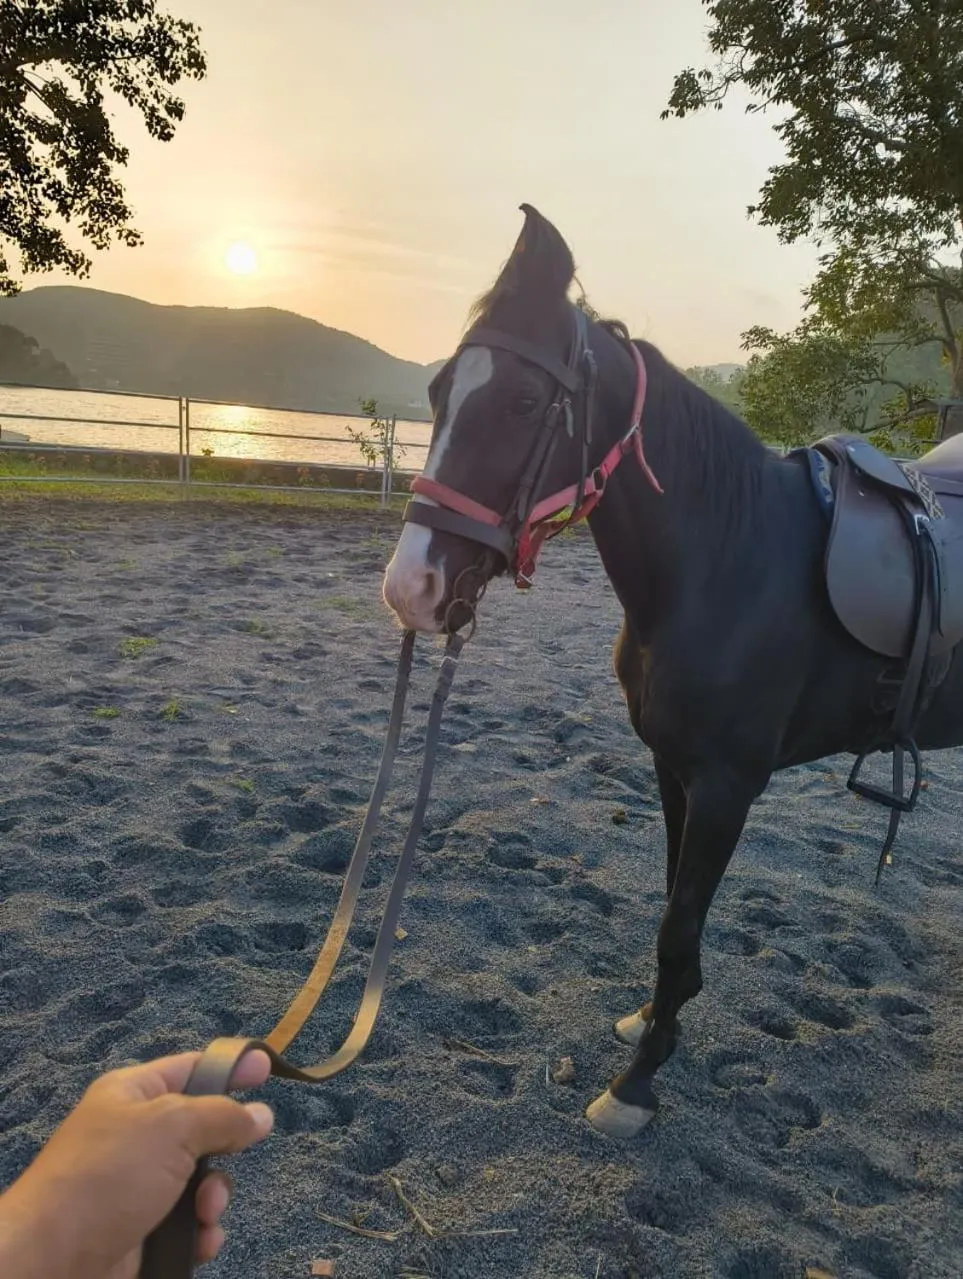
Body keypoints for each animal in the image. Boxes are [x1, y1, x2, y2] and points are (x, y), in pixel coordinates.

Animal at [381, 204, 963, 1139]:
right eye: (437, 394)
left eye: (524, 400)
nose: (412, 587)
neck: (727, 558)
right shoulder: (671, 769)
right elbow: (669, 905)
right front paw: (657, 1019)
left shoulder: (727, 784)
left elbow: (678, 920)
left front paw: (636, 1080)